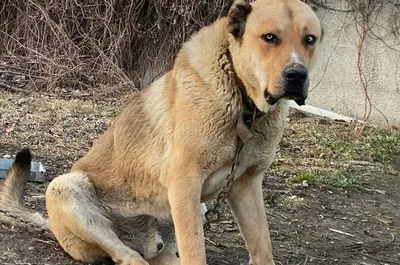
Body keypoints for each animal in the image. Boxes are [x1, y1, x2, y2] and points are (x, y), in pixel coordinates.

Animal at [2, 0, 322, 264]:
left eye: (310, 39)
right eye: (270, 37)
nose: (297, 75)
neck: (243, 103)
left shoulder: (245, 184)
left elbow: (262, 246)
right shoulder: (185, 183)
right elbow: (196, 251)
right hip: (66, 187)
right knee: (126, 255)